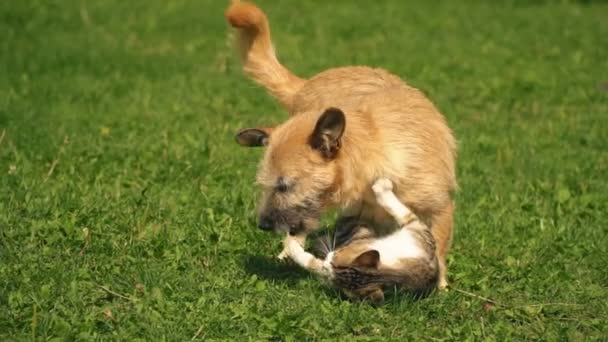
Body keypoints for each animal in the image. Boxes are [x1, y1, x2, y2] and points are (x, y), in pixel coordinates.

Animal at [227, 1, 456, 288]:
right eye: (266, 185)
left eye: (284, 186)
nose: (263, 225)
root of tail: (307, 84)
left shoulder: (440, 210)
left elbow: (439, 249)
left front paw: (439, 285)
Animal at [286, 179, 436, 302]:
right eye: (338, 253)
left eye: (335, 258)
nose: (326, 264)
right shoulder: (420, 232)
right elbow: (400, 210)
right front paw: (382, 186)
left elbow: (311, 262)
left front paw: (294, 247)